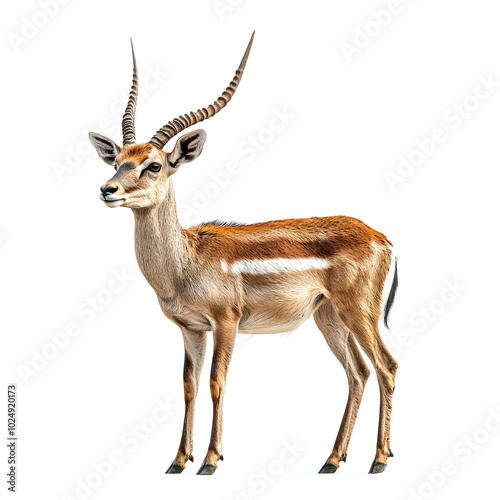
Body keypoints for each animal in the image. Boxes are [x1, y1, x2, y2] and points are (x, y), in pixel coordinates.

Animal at [90, 33, 400, 474]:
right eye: (117, 160)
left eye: (154, 165)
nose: (108, 189)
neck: (185, 260)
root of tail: (381, 237)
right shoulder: (190, 328)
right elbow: (188, 385)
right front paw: (177, 461)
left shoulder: (227, 322)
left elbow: (217, 381)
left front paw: (210, 460)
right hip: (328, 316)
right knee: (358, 372)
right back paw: (332, 460)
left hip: (359, 312)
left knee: (386, 367)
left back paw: (378, 460)